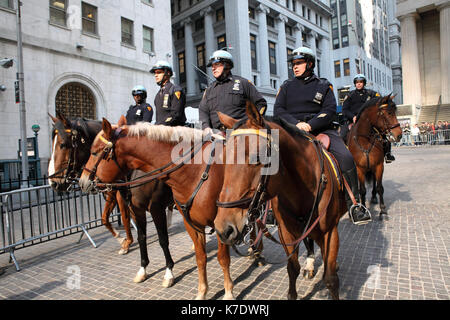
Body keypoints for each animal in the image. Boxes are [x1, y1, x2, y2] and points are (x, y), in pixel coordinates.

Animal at [48, 113, 175, 288]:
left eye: (63, 144)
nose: (53, 183)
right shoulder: (126, 201)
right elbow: (117, 221)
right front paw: (129, 248)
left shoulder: (155, 208)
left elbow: (162, 239)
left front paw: (168, 272)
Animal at [78, 117, 236, 300]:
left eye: (95, 152)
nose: (82, 182)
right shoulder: (136, 210)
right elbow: (142, 237)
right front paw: (142, 269)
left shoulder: (157, 209)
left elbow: (163, 240)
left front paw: (168, 273)